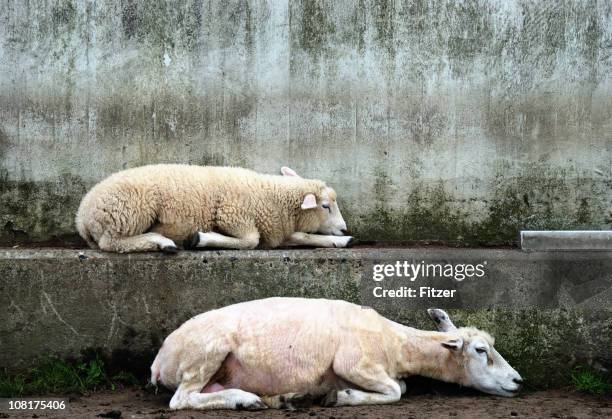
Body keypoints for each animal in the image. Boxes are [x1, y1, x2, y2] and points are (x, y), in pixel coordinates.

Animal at [75, 166, 354, 254]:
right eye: (325, 206)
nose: (343, 228)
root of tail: (82, 217)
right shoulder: (233, 214)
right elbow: (250, 241)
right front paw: (200, 238)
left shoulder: (276, 232)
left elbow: (303, 236)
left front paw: (342, 241)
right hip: (129, 211)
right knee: (113, 243)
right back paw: (162, 242)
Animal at [148, 296, 520, 412]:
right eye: (481, 350)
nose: (518, 380)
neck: (396, 344)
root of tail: (159, 360)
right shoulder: (355, 363)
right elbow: (396, 391)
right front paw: (341, 397)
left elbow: (401, 387)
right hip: (204, 353)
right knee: (182, 400)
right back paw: (245, 400)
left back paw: (282, 399)